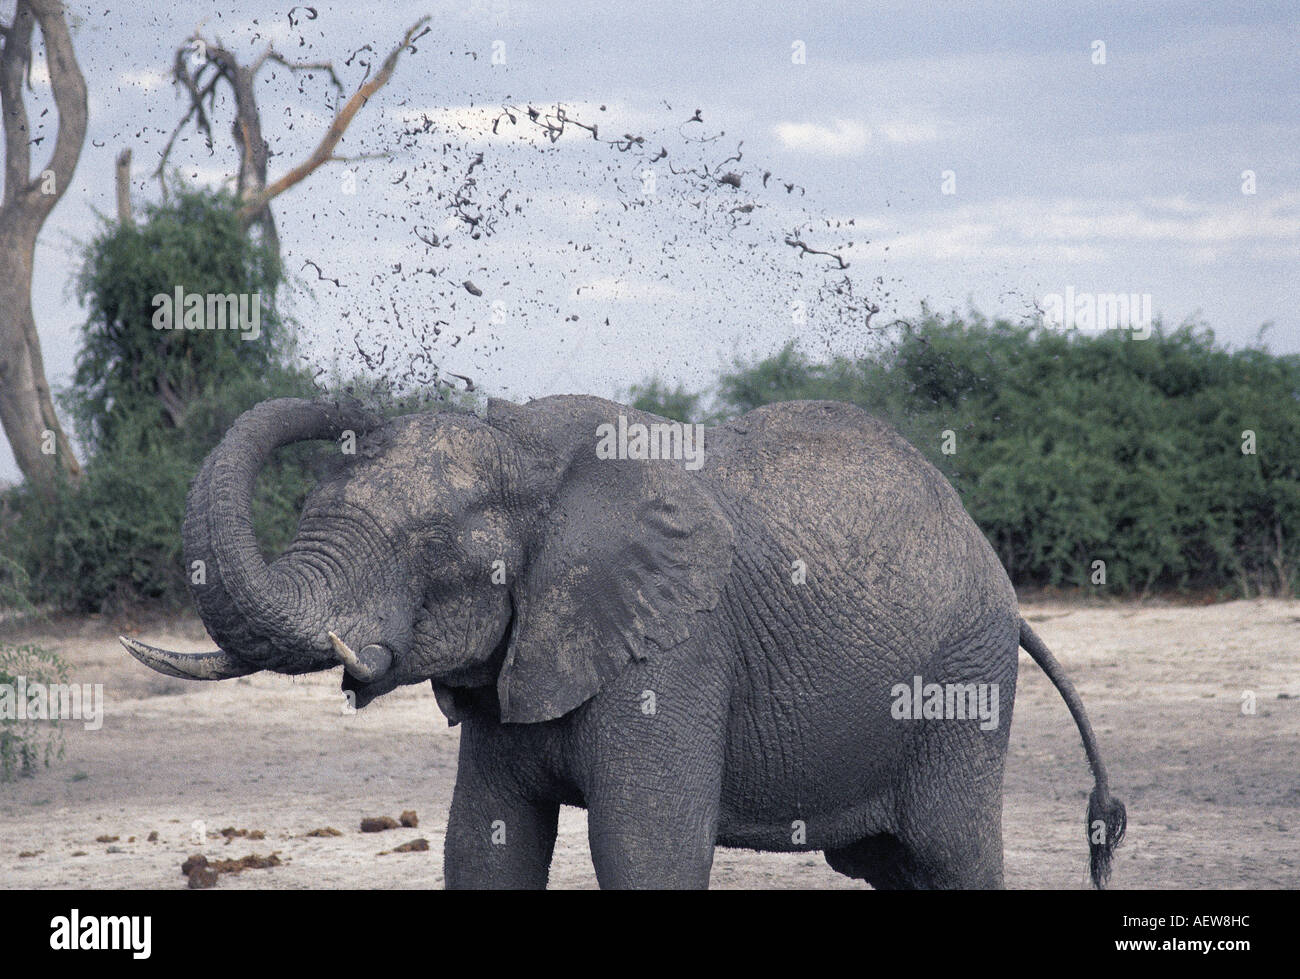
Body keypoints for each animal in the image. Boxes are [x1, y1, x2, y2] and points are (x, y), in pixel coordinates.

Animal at [126, 392, 1133, 889]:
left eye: (432, 544)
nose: (359, 405)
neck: (533, 458)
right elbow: (485, 847)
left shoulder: (674, 650)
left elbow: (643, 849)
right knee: (888, 865)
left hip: (965, 682)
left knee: (952, 855)